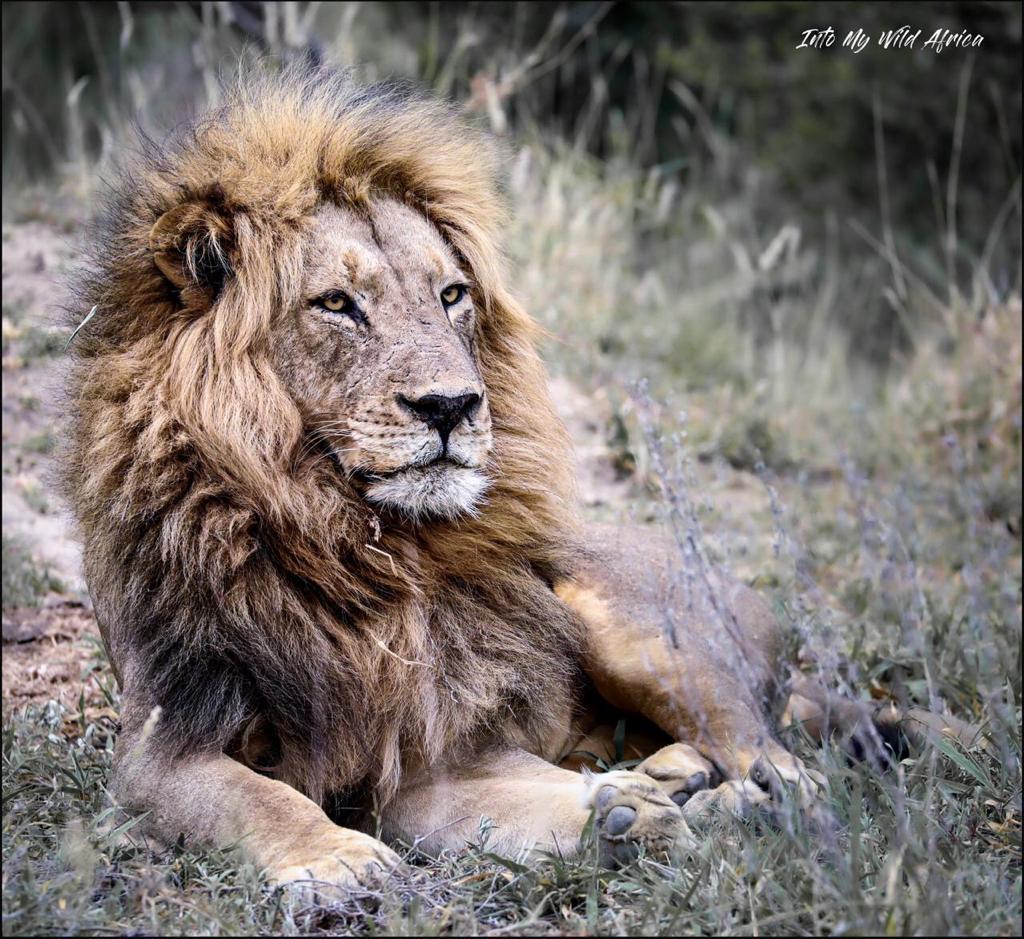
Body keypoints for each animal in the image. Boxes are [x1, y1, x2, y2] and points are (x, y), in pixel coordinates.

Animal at [61, 65, 956, 897]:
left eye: (451, 294)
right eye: (337, 303)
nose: (452, 405)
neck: (349, 542)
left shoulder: (432, 738)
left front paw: (626, 817)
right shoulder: (163, 740)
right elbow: (259, 796)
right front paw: (343, 855)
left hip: (636, 625)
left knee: (788, 766)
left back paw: (723, 797)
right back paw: (675, 781)